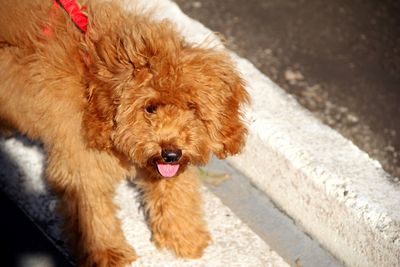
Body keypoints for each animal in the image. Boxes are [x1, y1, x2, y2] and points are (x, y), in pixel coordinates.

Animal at [0, 1, 248, 266]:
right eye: (150, 108)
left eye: (192, 107)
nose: (171, 154)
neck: (92, 79)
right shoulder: (82, 159)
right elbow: (92, 208)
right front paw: (107, 253)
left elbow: (176, 189)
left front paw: (184, 236)